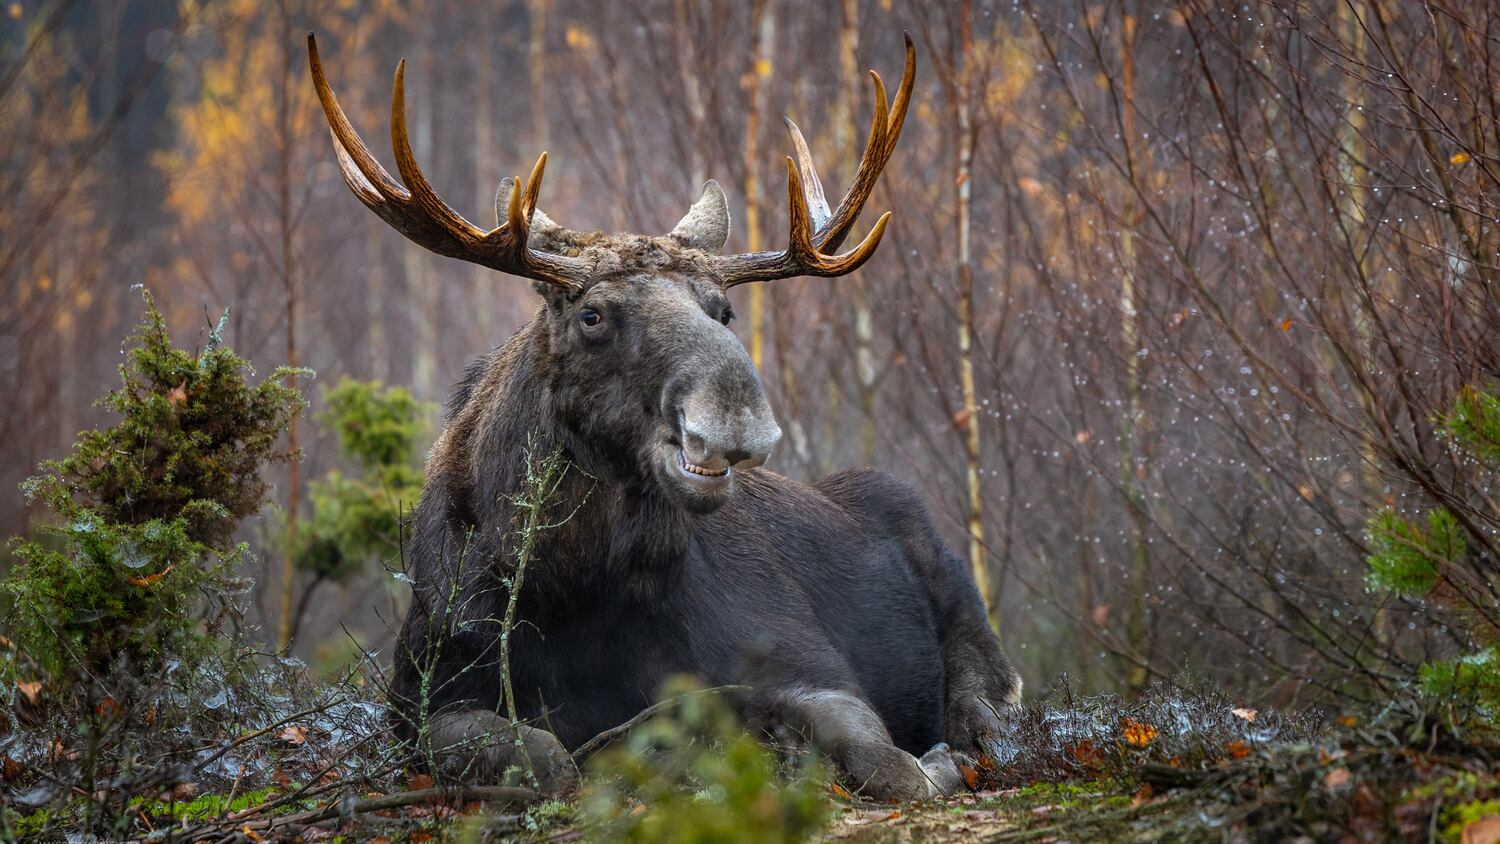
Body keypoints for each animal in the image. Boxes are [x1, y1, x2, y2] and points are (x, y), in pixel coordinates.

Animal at [310, 29, 1026, 803]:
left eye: (723, 310)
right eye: (592, 314)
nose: (737, 417)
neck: (573, 592)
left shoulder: (809, 662)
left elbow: (888, 765)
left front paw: (929, 763)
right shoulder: (419, 699)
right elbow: (546, 761)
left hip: (969, 619)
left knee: (988, 706)